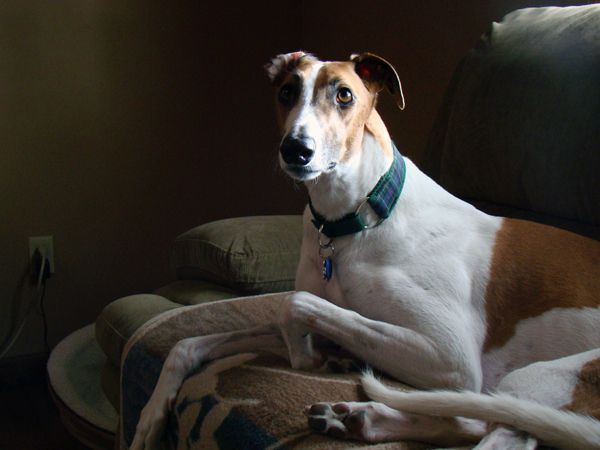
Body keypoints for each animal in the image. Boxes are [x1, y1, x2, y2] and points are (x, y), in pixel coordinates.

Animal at [131, 52, 600, 450]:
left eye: (344, 95)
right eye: (286, 91)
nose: (296, 150)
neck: (353, 221)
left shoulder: (451, 357)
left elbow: (293, 303)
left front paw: (311, 357)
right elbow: (188, 343)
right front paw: (149, 420)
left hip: (542, 378)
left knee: (491, 424)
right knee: (474, 421)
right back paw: (355, 418)